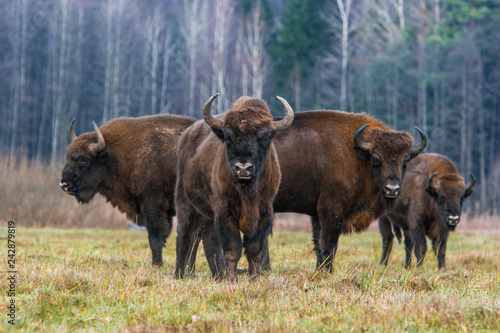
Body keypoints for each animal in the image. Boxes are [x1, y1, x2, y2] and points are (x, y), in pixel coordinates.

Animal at [59, 114, 196, 264]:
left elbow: (155, 236)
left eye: (85, 159)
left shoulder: (153, 204)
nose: (64, 184)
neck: (115, 154)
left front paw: (157, 264)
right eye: (68, 156)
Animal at [272, 110, 428, 272]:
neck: (357, 154)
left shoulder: (316, 215)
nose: (392, 189)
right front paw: (328, 272)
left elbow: (318, 245)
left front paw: (319, 271)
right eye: (376, 159)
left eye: (405, 161)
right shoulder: (332, 211)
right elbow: (329, 245)